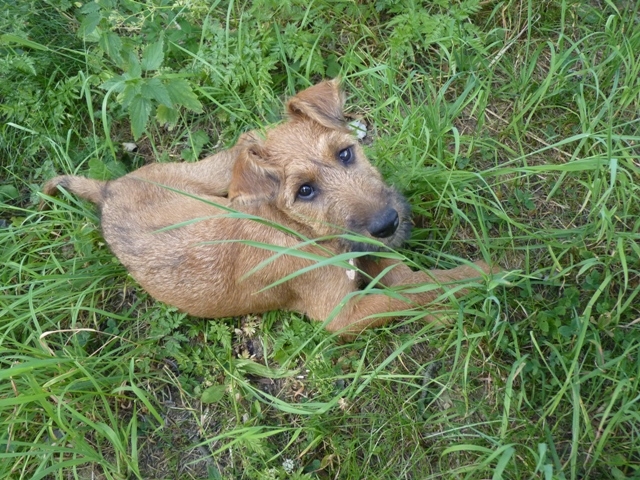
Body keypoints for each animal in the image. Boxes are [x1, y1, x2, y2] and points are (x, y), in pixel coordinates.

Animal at [43, 79, 493, 338]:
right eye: (305, 191)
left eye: (346, 153)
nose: (388, 224)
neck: (303, 232)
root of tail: (108, 191)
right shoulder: (342, 315)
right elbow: (402, 297)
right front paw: (475, 282)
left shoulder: (367, 252)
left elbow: (412, 281)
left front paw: (458, 290)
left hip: (214, 172)